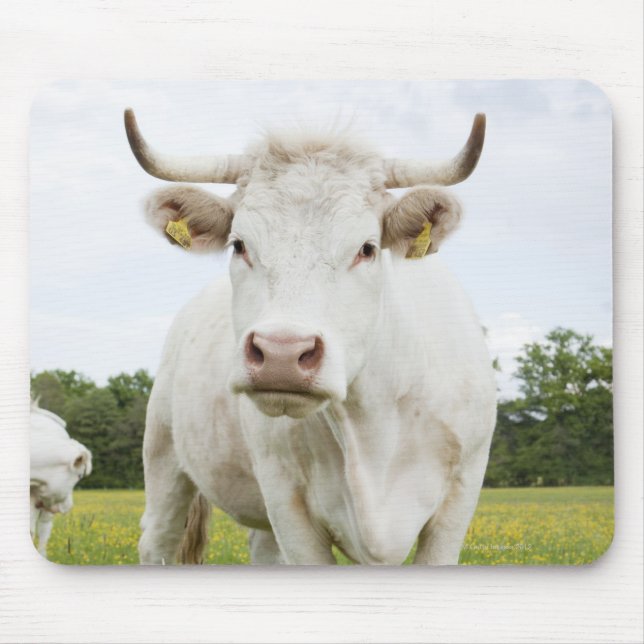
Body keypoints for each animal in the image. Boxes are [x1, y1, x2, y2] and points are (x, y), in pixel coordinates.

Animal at [124, 108, 496, 565]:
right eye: (239, 245)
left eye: (367, 248)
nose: (281, 354)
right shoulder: (286, 499)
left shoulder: (461, 496)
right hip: (163, 458)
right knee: (157, 538)